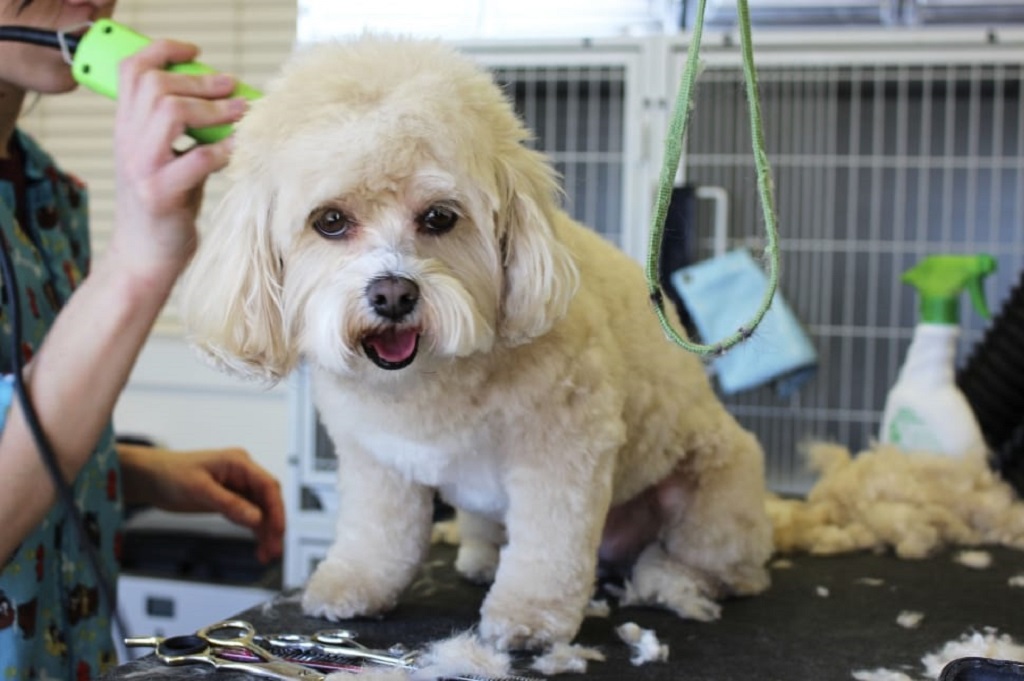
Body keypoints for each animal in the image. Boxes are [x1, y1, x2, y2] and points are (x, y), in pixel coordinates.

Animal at [180, 34, 770, 651]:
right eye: (331, 221)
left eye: (439, 217)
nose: (393, 294)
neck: (427, 381)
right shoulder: (374, 458)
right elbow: (378, 532)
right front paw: (354, 584)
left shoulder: (564, 450)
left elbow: (548, 545)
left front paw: (531, 616)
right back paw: (484, 556)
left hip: (712, 494)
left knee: (728, 568)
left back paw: (672, 578)